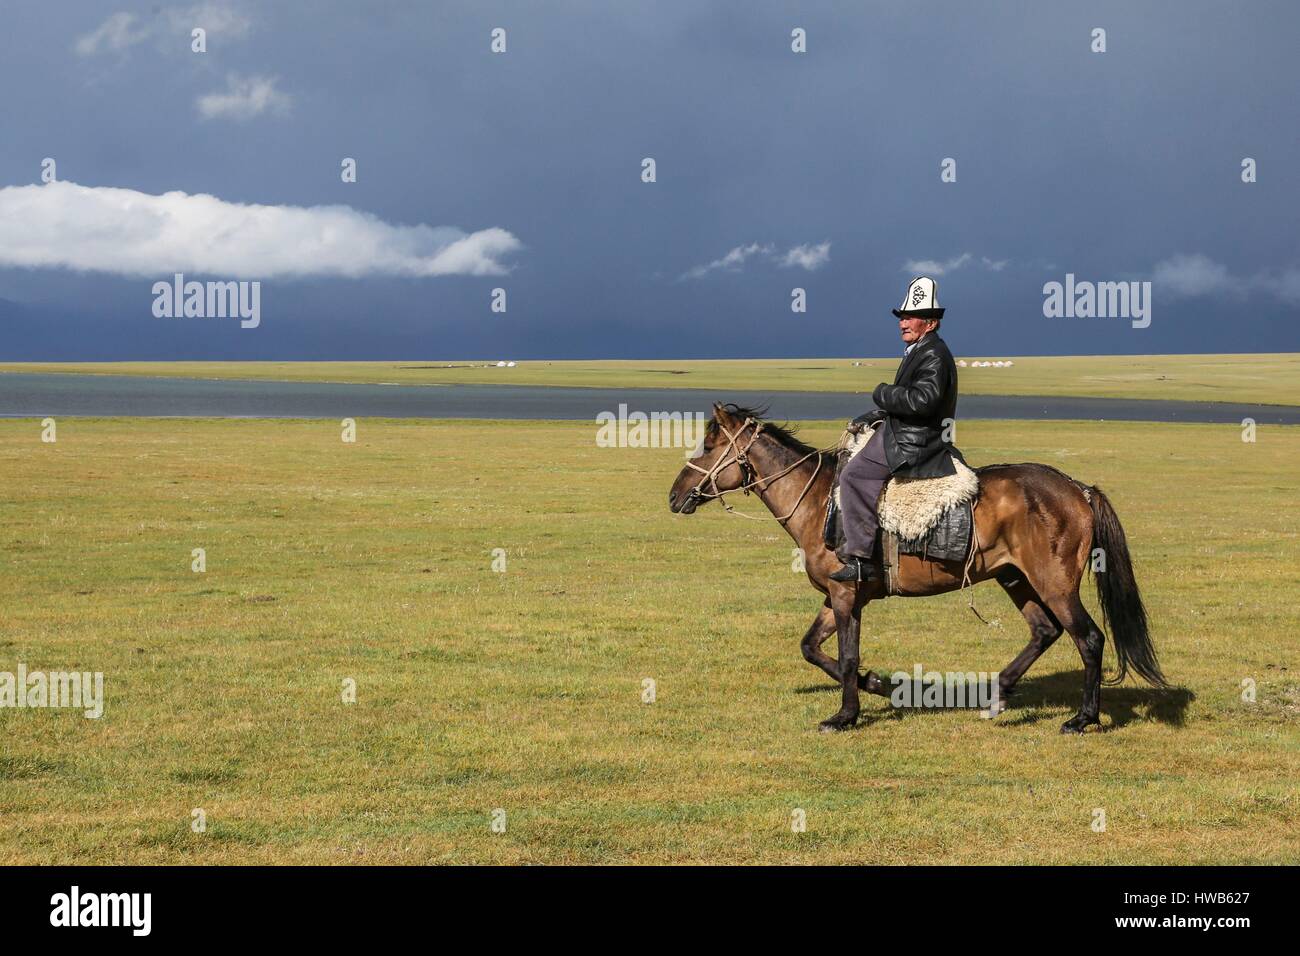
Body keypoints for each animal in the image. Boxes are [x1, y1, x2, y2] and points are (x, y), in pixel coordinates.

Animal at [670, 403, 1170, 733]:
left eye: (710, 444)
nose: (675, 495)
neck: (817, 502)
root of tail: (1077, 489)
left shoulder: (847, 594)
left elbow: (845, 656)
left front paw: (845, 715)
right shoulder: (837, 597)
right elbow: (812, 648)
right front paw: (878, 684)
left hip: (1054, 584)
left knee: (1088, 638)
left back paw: (1082, 719)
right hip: (1015, 578)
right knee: (1044, 631)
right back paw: (996, 694)